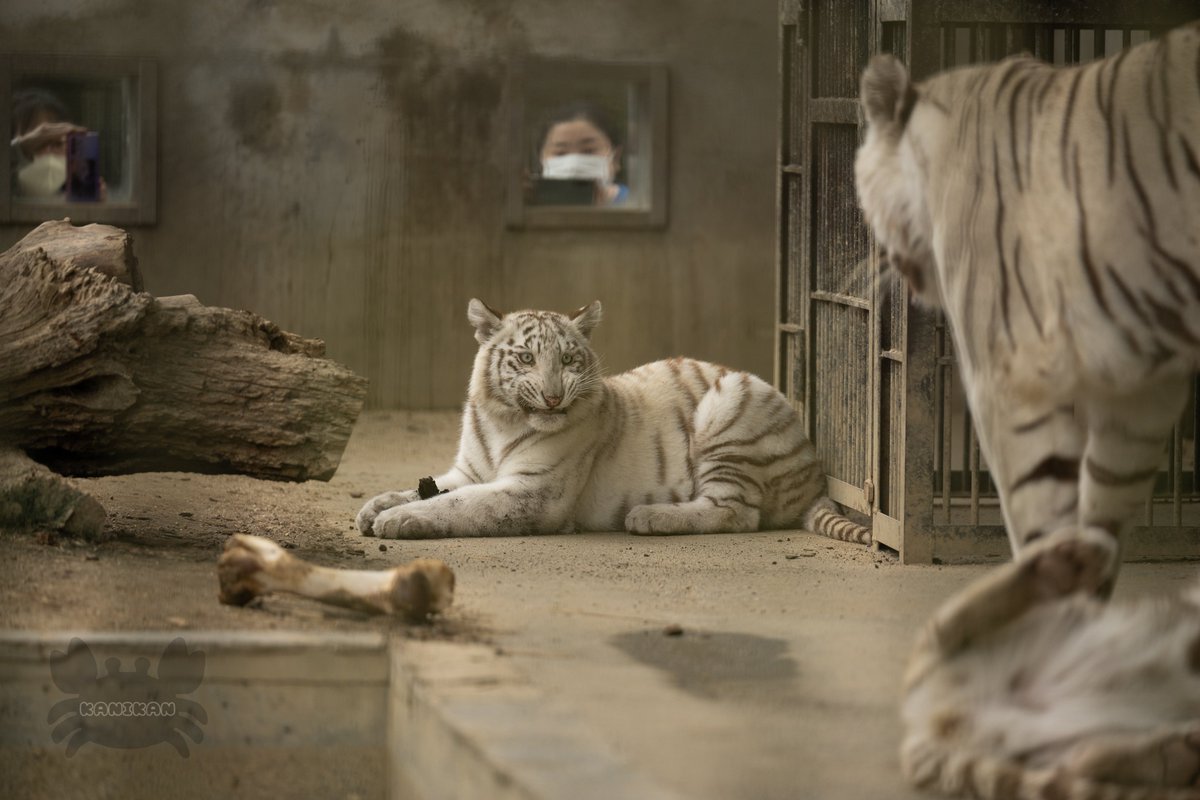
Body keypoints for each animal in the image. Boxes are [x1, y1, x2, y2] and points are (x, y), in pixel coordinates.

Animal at [350, 298, 868, 544]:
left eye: (568, 358)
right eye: (526, 358)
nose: (554, 396)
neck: (504, 422)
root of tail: (815, 473)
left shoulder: (535, 491)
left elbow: (459, 505)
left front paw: (399, 519)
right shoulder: (468, 471)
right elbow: (432, 488)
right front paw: (375, 506)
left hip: (731, 407)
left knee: (736, 512)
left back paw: (649, 516)